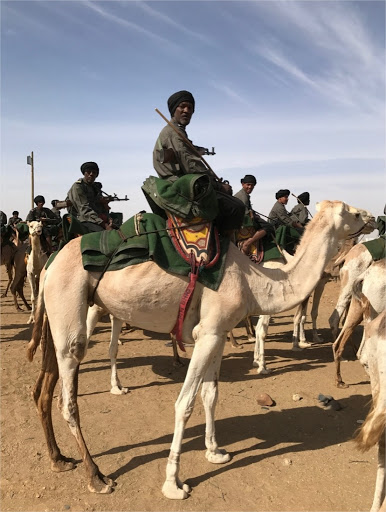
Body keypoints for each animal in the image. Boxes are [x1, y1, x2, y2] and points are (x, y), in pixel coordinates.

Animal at [26, 202, 374, 498]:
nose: (372, 218)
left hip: (63, 315)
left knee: (43, 388)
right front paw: (174, 483)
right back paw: (96, 476)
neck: (254, 281)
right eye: (353, 213)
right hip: (71, 305)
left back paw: (59, 459)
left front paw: (215, 452)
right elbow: (185, 403)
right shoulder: (206, 333)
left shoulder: (217, 332)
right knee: (68, 399)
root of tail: (50, 265)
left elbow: (210, 394)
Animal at [332, 260, 386, 388]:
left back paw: (340, 381)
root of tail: (364, 276)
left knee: (338, 343)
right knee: (364, 354)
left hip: (356, 307)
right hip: (376, 313)